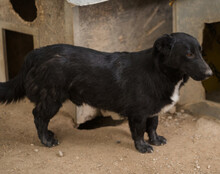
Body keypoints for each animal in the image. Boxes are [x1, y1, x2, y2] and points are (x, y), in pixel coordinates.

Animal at [0, 32, 213, 152]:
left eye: (201, 52)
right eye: (189, 54)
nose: (210, 73)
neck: (160, 71)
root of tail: (35, 53)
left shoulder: (152, 110)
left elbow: (153, 126)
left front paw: (155, 141)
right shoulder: (137, 114)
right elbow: (138, 132)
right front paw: (143, 147)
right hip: (52, 98)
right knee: (38, 117)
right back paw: (46, 141)